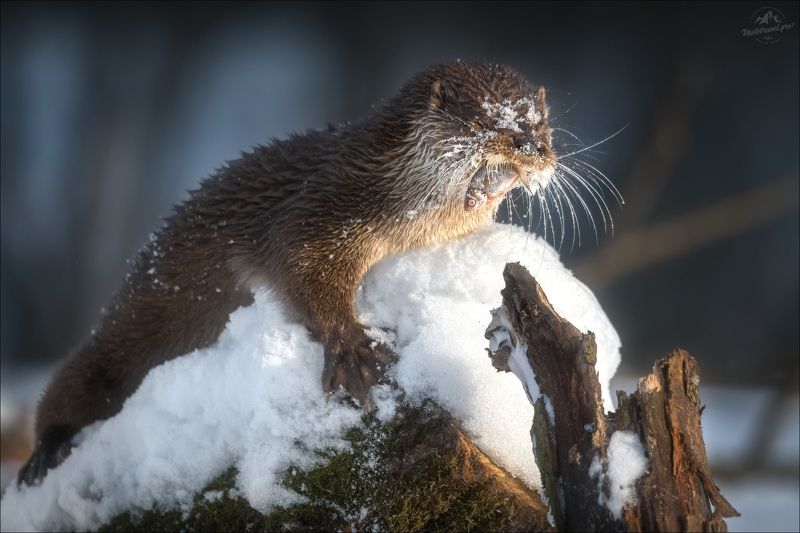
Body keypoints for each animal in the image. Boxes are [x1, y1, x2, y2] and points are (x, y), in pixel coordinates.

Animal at [18, 61, 556, 486]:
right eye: (487, 120)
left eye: (542, 123)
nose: (532, 148)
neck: (387, 187)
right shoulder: (318, 211)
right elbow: (299, 266)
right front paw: (354, 350)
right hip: (122, 335)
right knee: (74, 381)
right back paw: (44, 453)